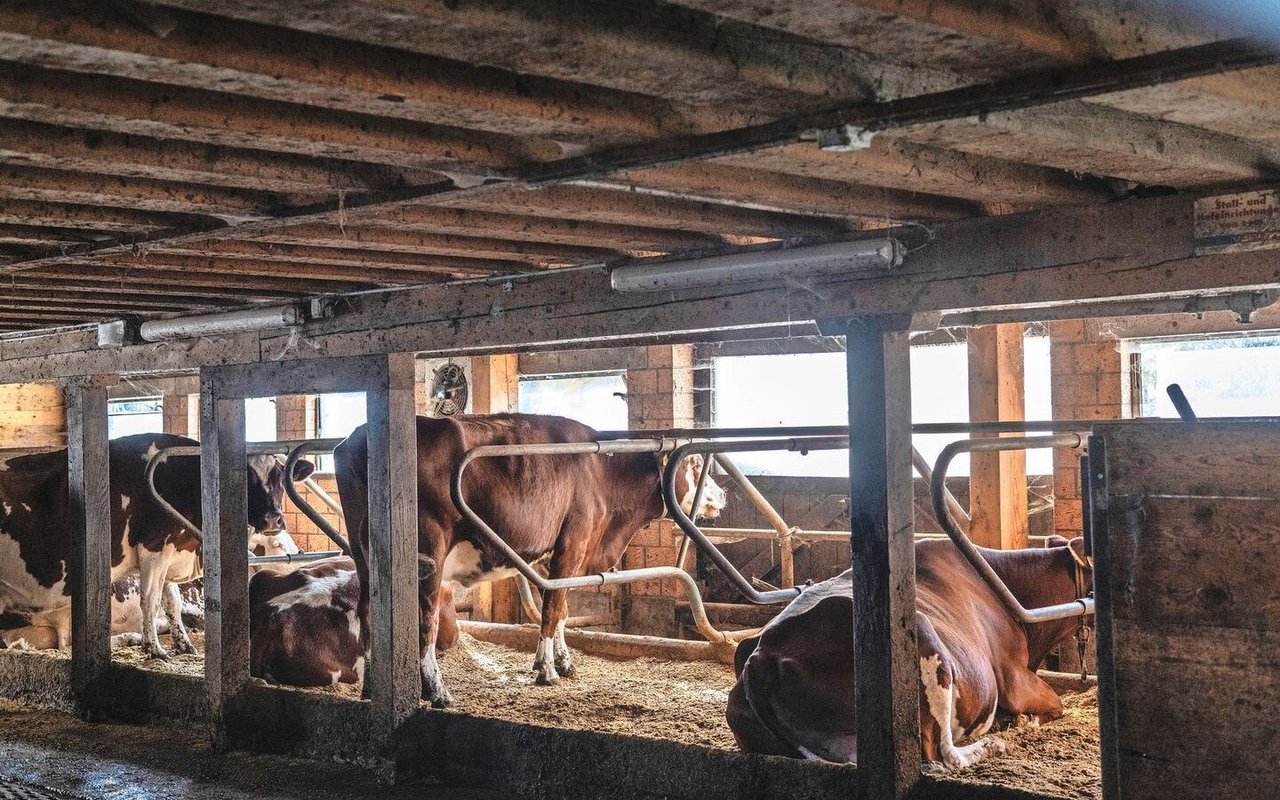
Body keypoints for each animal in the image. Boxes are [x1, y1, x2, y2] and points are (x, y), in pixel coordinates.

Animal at [0, 432, 314, 660]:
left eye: (279, 476)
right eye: (246, 476)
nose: (272, 518)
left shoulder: (172, 551)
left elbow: (171, 601)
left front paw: (184, 644)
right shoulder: (154, 548)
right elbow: (150, 601)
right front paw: (154, 649)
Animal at [335, 412, 727, 706]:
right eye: (694, 464)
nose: (723, 495)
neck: (601, 472)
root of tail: (360, 438)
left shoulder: (549, 556)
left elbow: (562, 609)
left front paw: (564, 662)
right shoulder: (572, 544)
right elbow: (552, 610)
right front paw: (545, 670)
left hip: (363, 555)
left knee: (368, 611)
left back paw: (371, 686)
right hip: (428, 552)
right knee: (425, 618)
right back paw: (437, 690)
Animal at [732, 532, 1090, 773]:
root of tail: (763, 653)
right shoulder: (1013, 678)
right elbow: (1055, 703)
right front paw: (1024, 720)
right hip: (925, 638)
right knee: (943, 755)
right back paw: (994, 744)